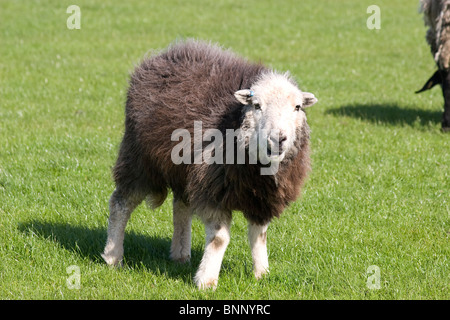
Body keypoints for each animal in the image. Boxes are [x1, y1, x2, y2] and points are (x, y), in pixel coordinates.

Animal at [102, 38, 318, 288]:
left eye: (297, 107)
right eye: (256, 105)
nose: (278, 138)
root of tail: (167, 53)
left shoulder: (262, 197)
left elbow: (259, 235)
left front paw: (262, 273)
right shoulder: (213, 187)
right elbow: (219, 238)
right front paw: (206, 281)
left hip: (182, 167)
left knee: (181, 206)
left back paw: (180, 254)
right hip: (139, 159)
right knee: (121, 203)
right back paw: (113, 256)